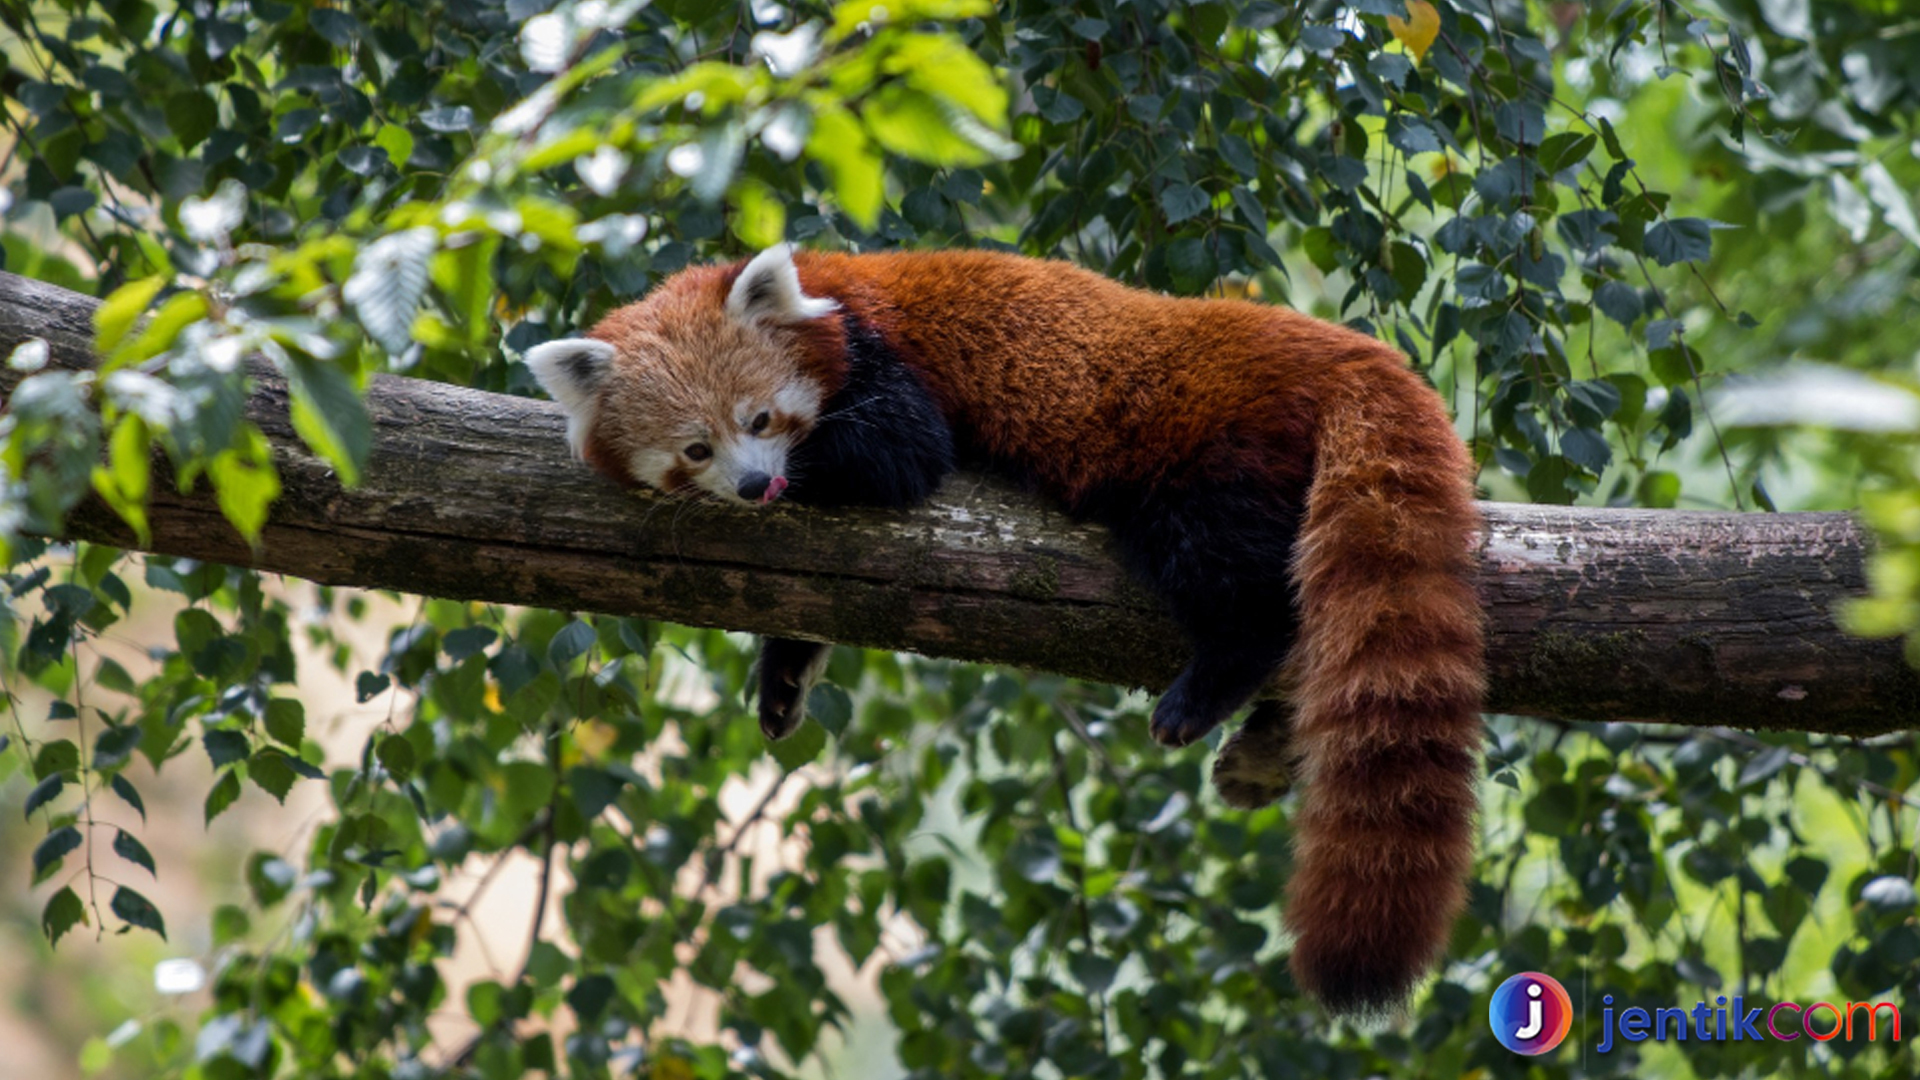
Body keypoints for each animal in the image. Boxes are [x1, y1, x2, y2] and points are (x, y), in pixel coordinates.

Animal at [526, 242, 1482, 1006]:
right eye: (695, 448)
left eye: (760, 419)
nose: (759, 484)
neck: (827, 300)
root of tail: (1334, 344)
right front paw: (784, 677)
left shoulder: (882, 366)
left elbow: (900, 455)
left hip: (1214, 451)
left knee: (1240, 583)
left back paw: (1213, 681)